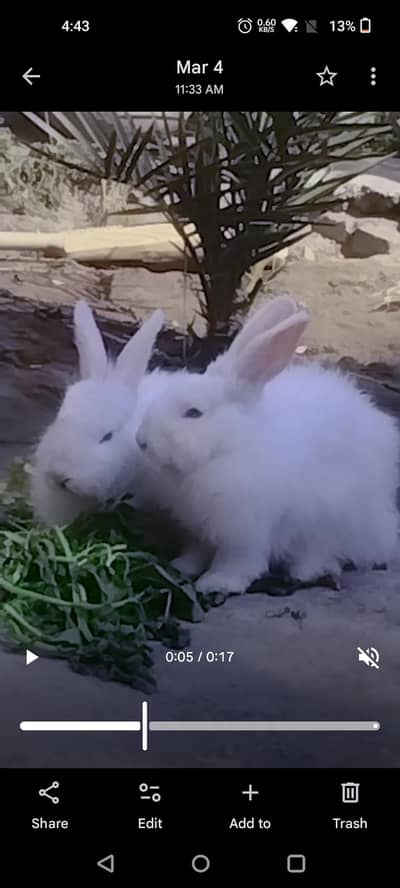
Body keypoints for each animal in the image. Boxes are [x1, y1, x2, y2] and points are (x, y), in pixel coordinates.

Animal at [135, 306, 400, 594]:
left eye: (193, 413)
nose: (141, 441)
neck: (228, 446)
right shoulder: (200, 529)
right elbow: (197, 550)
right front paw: (183, 566)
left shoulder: (246, 530)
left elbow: (238, 561)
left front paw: (217, 582)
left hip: (332, 515)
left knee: (323, 549)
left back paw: (305, 572)